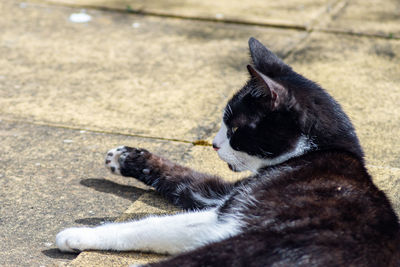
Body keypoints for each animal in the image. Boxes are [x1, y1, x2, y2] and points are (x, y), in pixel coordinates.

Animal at [54, 38, 398, 267]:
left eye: (233, 128)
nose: (215, 144)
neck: (319, 151)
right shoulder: (220, 193)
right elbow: (185, 178)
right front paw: (125, 157)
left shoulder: (226, 218)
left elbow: (150, 225)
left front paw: (78, 234)